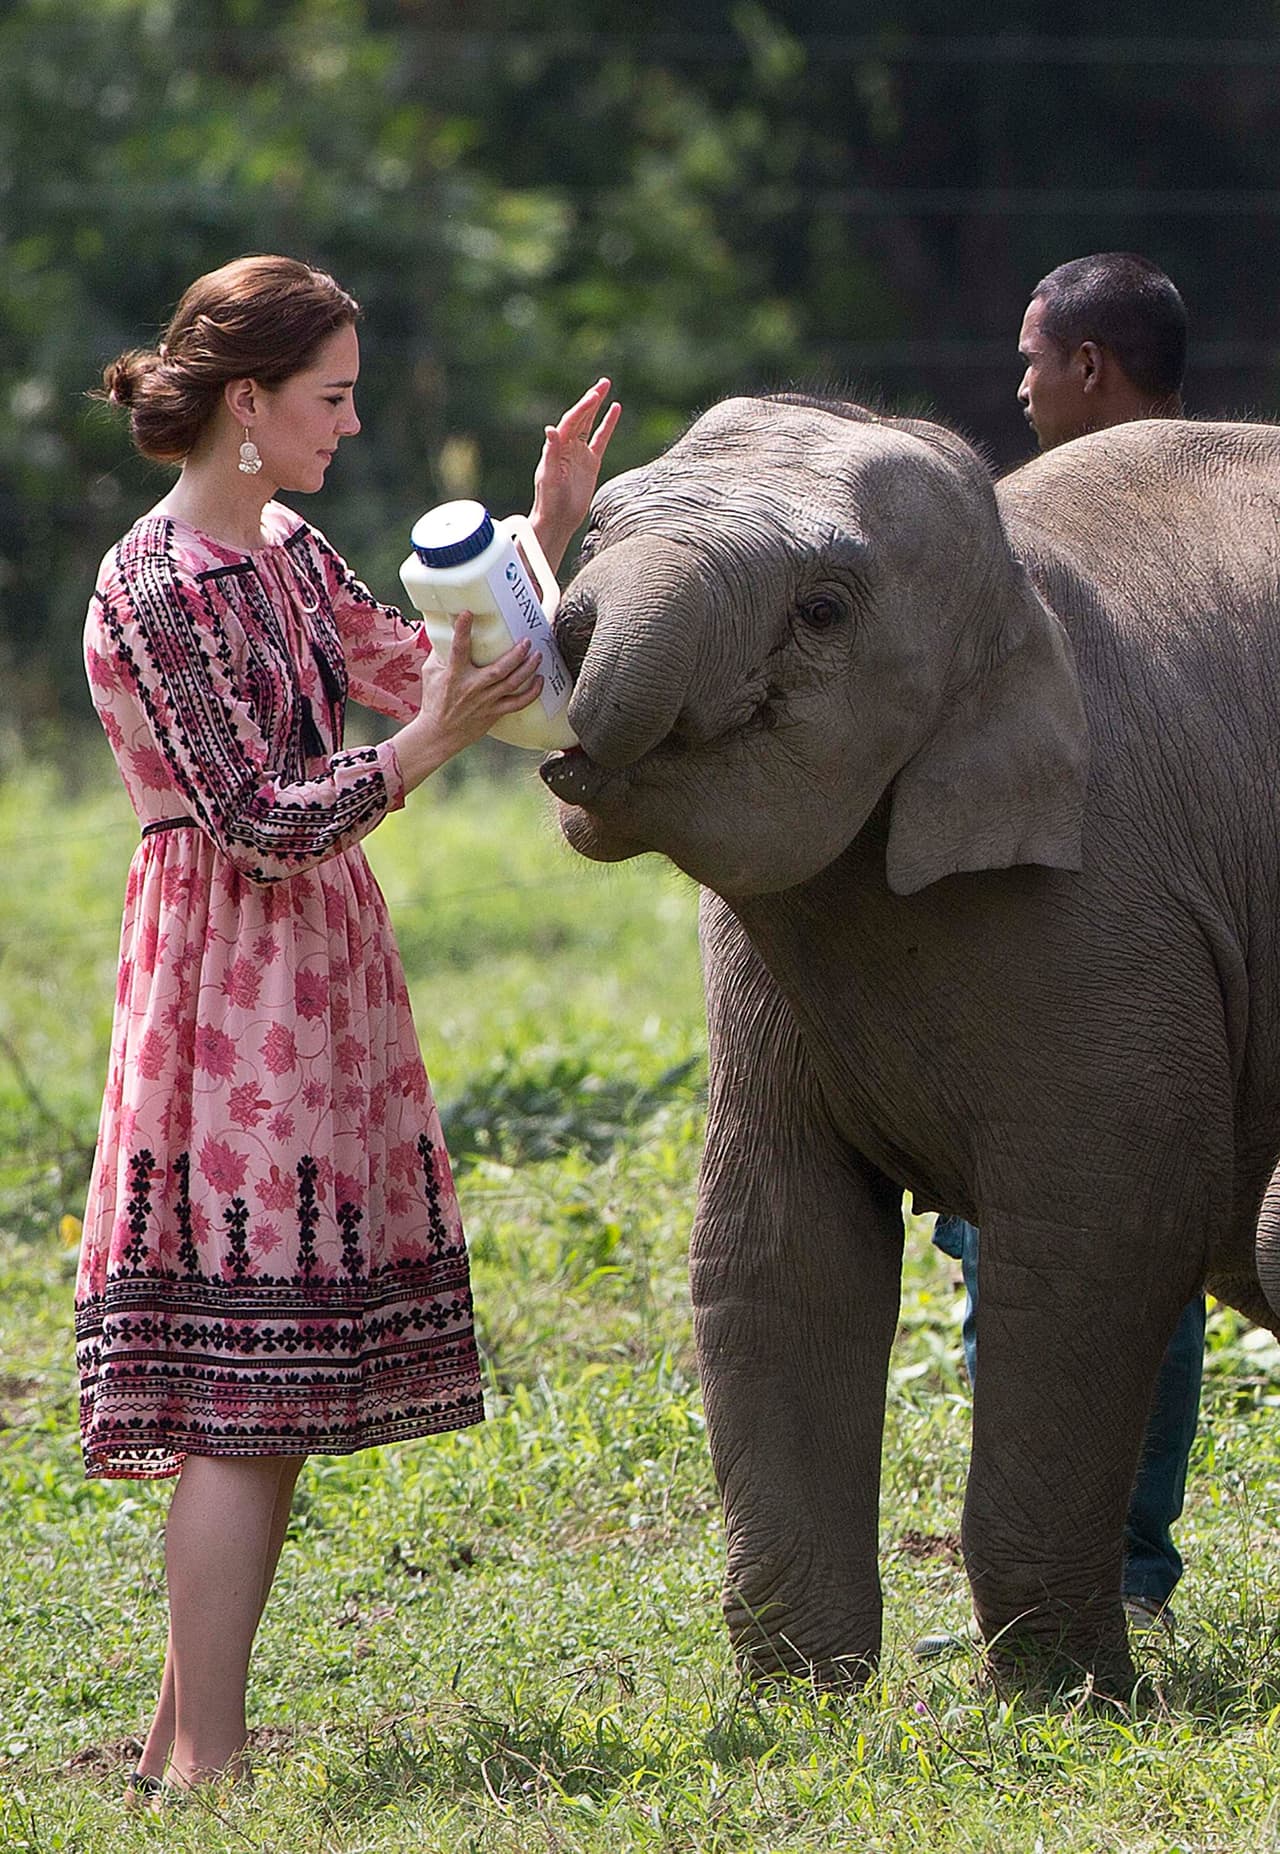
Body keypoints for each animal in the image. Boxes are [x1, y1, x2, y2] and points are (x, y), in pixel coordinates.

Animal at [538, 394, 1280, 1697]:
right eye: (593, 536)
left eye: (823, 611)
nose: (559, 625)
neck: (1014, 579)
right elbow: (778, 1247)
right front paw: (804, 1695)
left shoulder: (1111, 912)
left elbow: (1094, 1245)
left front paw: (1063, 1695)